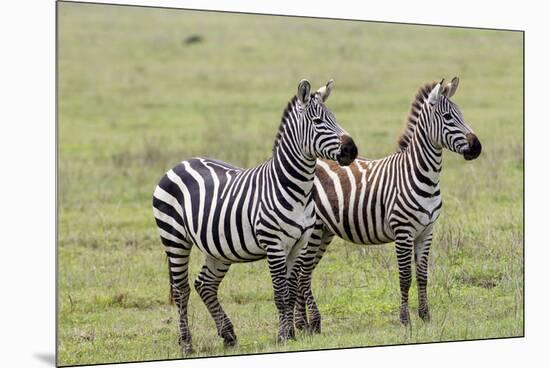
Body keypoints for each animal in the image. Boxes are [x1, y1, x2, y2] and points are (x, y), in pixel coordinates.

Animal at [152, 80, 358, 354]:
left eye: (334, 118)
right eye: (317, 121)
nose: (351, 150)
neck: (297, 188)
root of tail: (180, 163)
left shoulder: (298, 244)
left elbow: (291, 290)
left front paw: (291, 334)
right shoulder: (274, 245)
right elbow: (281, 293)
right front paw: (283, 336)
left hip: (217, 247)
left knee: (204, 284)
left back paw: (228, 335)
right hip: (174, 238)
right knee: (181, 289)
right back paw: (186, 344)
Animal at [298, 76, 484, 332]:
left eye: (461, 114)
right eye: (448, 117)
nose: (477, 147)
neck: (421, 174)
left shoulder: (426, 232)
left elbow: (423, 276)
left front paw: (426, 317)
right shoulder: (403, 232)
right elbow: (405, 277)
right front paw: (405, 320)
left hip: (324, 232)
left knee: (301, 274)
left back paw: (303, 325)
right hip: (313, 232)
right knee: (301, 274)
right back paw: (307, 324)